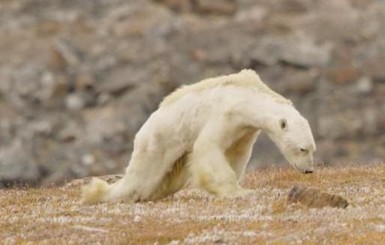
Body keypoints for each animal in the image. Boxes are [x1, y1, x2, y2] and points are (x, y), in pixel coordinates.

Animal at [81, 69, 316, 203]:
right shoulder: (225, 114)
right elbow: (208, 147)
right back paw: (97, 194)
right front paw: (238, 192)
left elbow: (237, 154)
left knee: (168, 181)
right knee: (141, 180)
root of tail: (143, 129)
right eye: (302, 148)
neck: (247, 97)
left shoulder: (245, 129)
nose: (309, 170)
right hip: (158, 142)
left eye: (312, 149)